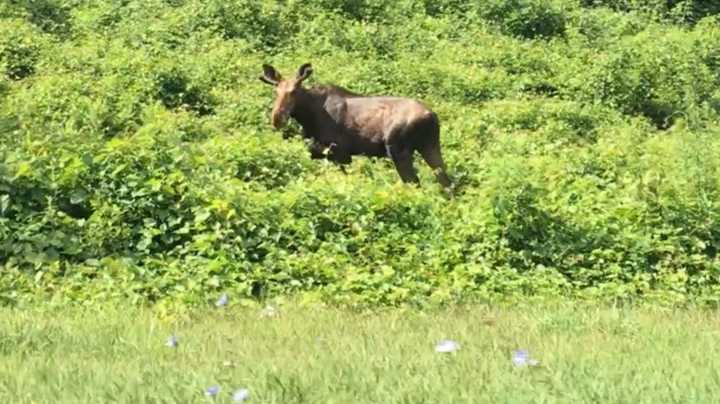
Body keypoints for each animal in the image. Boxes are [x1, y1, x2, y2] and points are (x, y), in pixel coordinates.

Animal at [258, 62, 450, 189]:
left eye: (294, 91)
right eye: (276, 91)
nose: (277, 118)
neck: (307, 116)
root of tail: (431, 116)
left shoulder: (340, 153)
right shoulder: (320, 152)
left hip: (398, 151)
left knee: (414, 183)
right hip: (430, 146)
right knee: (446, 182)